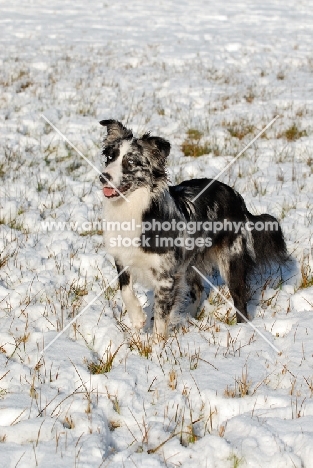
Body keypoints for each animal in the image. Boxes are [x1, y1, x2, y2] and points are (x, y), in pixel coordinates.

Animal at [98, 119, 286, 342]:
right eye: (110, 157)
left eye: (131, 162)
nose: (103, 177)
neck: (134, 207)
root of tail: (237, 197)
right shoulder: (123, 259)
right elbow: (125, 290)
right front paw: (138, 319)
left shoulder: (166, 277)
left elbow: (160, 317)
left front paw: (156, 346)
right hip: (190, 264)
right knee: (198, 289)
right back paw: (188, 317)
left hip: (231, 260)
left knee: (240, 300)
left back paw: (241, 329)